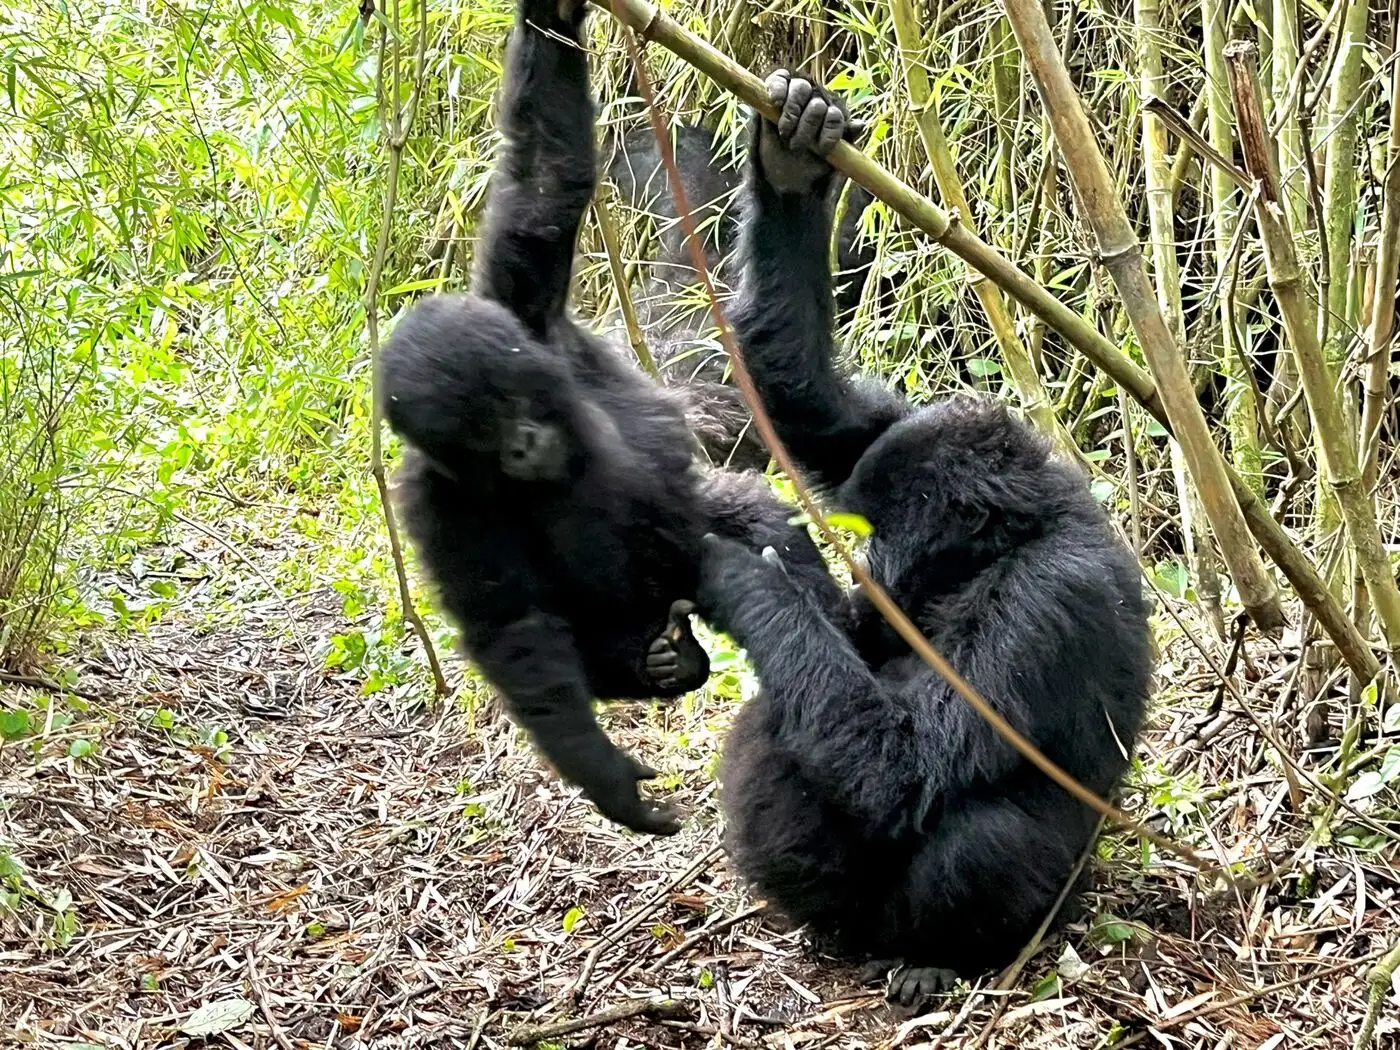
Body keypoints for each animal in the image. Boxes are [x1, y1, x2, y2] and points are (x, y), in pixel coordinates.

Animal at [380, 0, 828, 840]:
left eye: (508, 406)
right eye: (480, 437)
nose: (524, 445)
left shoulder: (520, 301)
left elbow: (545, 187)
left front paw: (551, 13)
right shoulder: (432, 497)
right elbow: (510, 625)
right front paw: (603, 774)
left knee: (751, 521)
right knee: (583, 645)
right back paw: (656, 663)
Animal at [694, 70, 1153, 1008]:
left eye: (880, 540)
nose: (868, 580)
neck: (1000, 547)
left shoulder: (1048, 599)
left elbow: (905, 766)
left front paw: (748, 580)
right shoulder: (896, 425)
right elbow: (808, 401)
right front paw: (791, 159)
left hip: (1046, 905)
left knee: (985, 834)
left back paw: (939, 958)